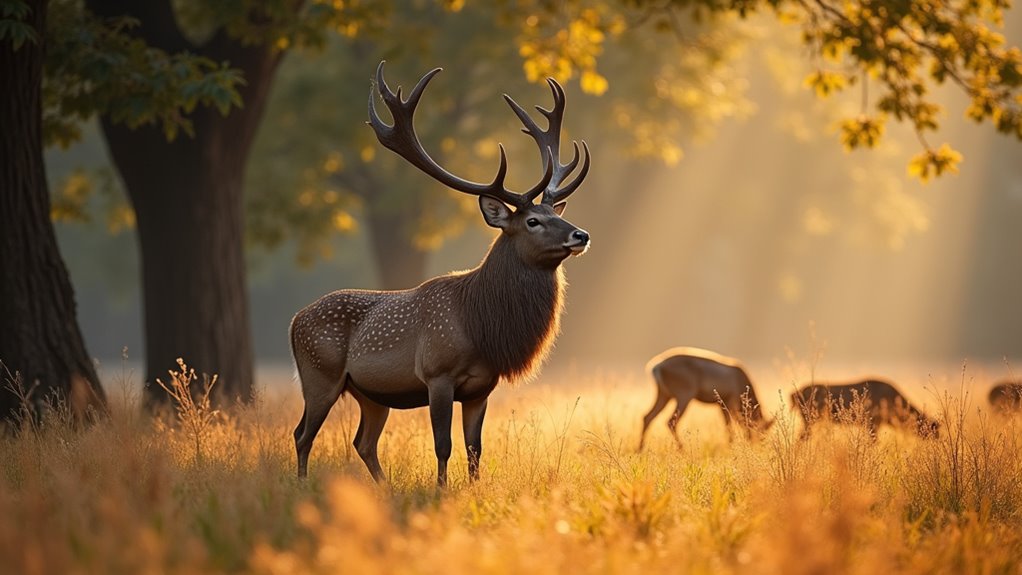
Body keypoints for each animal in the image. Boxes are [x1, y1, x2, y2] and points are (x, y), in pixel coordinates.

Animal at [289, 62, 591, 487]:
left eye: (556, 213)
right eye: (533, 221)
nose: (581, 235)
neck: (481, 325)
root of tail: (294, 320)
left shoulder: (482, 388)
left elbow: (475, 449)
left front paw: (474, 490)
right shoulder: (437, 374)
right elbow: (443, 445)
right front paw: (441, 490)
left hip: (370, 394)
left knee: (363, 442)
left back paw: (383, 489)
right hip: (320, 375)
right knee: (302, 434)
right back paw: (302, 485)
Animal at [639, 347, 773, 450]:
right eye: (762, 430)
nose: (759, 443)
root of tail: (655, 368)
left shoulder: (721, 404)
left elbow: (727, 424)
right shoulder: (731, 400)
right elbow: (734, 423)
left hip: (664, 394)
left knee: (647, 417)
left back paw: (640, 449)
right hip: (684, 394)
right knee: (671, 421)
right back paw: (682, 449)